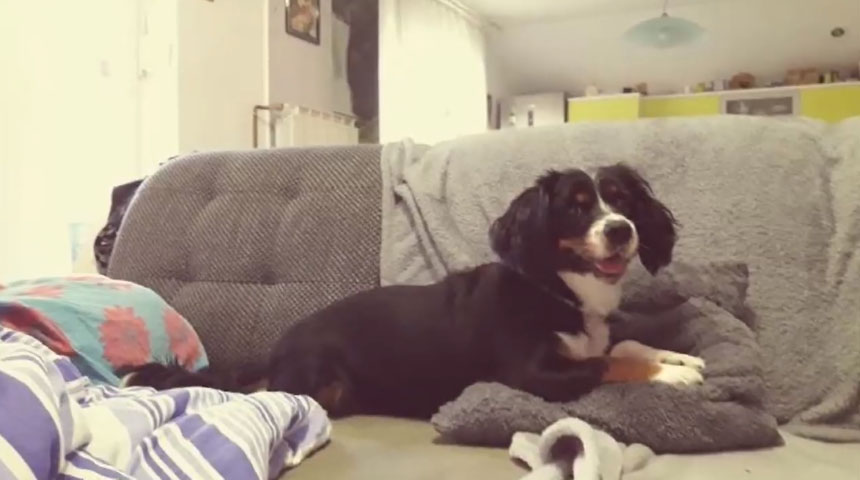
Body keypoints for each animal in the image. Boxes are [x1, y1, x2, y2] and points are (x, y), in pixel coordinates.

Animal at [127, 164, 705, 418]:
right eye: (576, 206)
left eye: (622, 200)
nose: (621, 230)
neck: (554, 288)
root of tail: (276, 350)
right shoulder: (528, 375)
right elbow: (608, 362)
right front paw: (669, 376)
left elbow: (623, 344)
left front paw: (676, 357)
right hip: (316, 385)